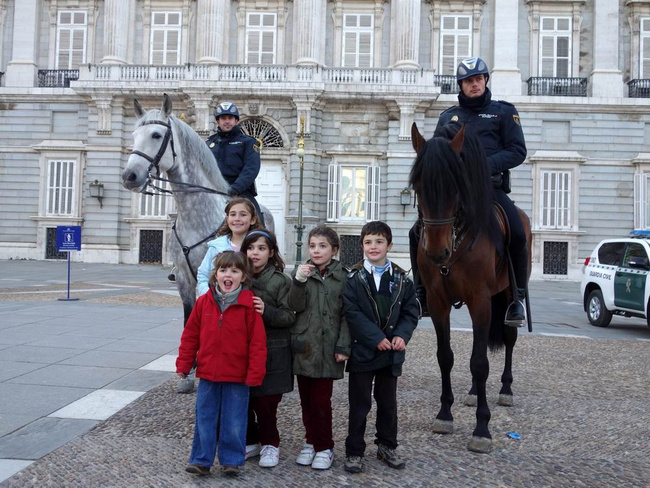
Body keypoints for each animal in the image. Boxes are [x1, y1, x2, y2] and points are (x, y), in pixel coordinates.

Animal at [410, 123, 532, 454]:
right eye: (418, 186)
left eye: (456, 186)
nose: (437, 253)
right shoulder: (438, 302)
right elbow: (445, 356)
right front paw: (444, 414)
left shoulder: (480, 301)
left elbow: (479, 362)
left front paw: (482, 428)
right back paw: (475, 392)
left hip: (506, 294)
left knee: (509, 338)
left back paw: (505, 389)